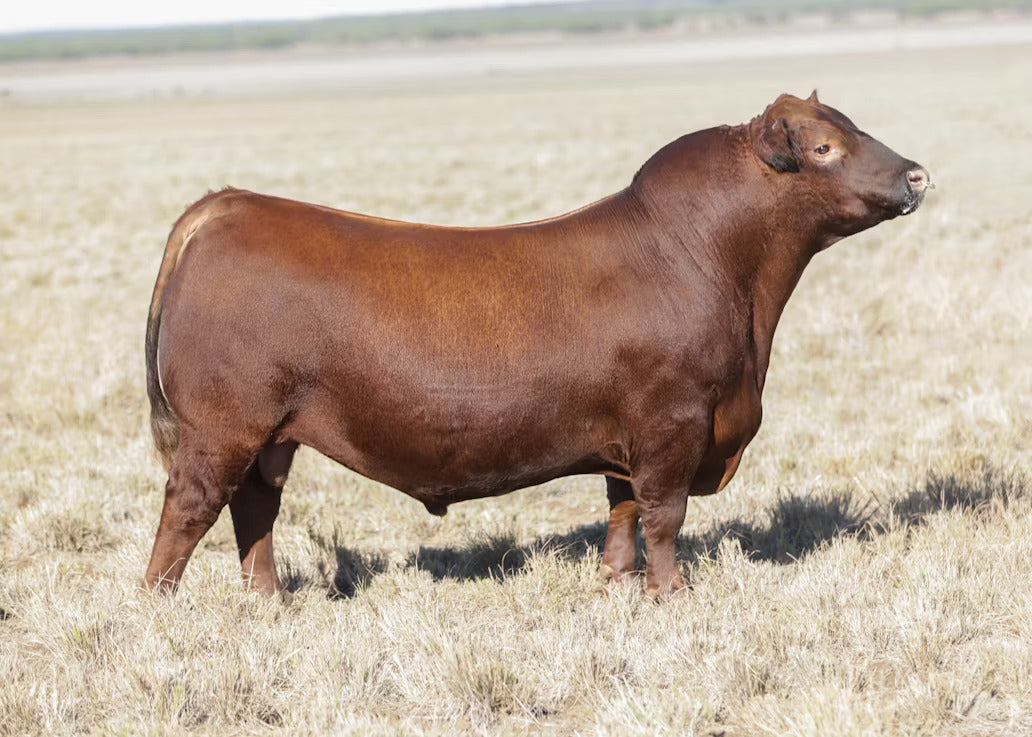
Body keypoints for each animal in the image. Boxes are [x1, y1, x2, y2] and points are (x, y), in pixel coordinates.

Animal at [143, 91, 931, 598]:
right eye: (824, 147)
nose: (917, 173)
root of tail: (227, 205)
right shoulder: (673, 424)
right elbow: (665, 515)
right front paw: (672, 595)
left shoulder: (628, 435)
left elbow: (622, 509)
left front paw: (615, 583)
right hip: (222, 427)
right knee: (189, 509)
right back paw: (161, 608)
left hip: (270, 436)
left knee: (254, 510)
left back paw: (269, 602)